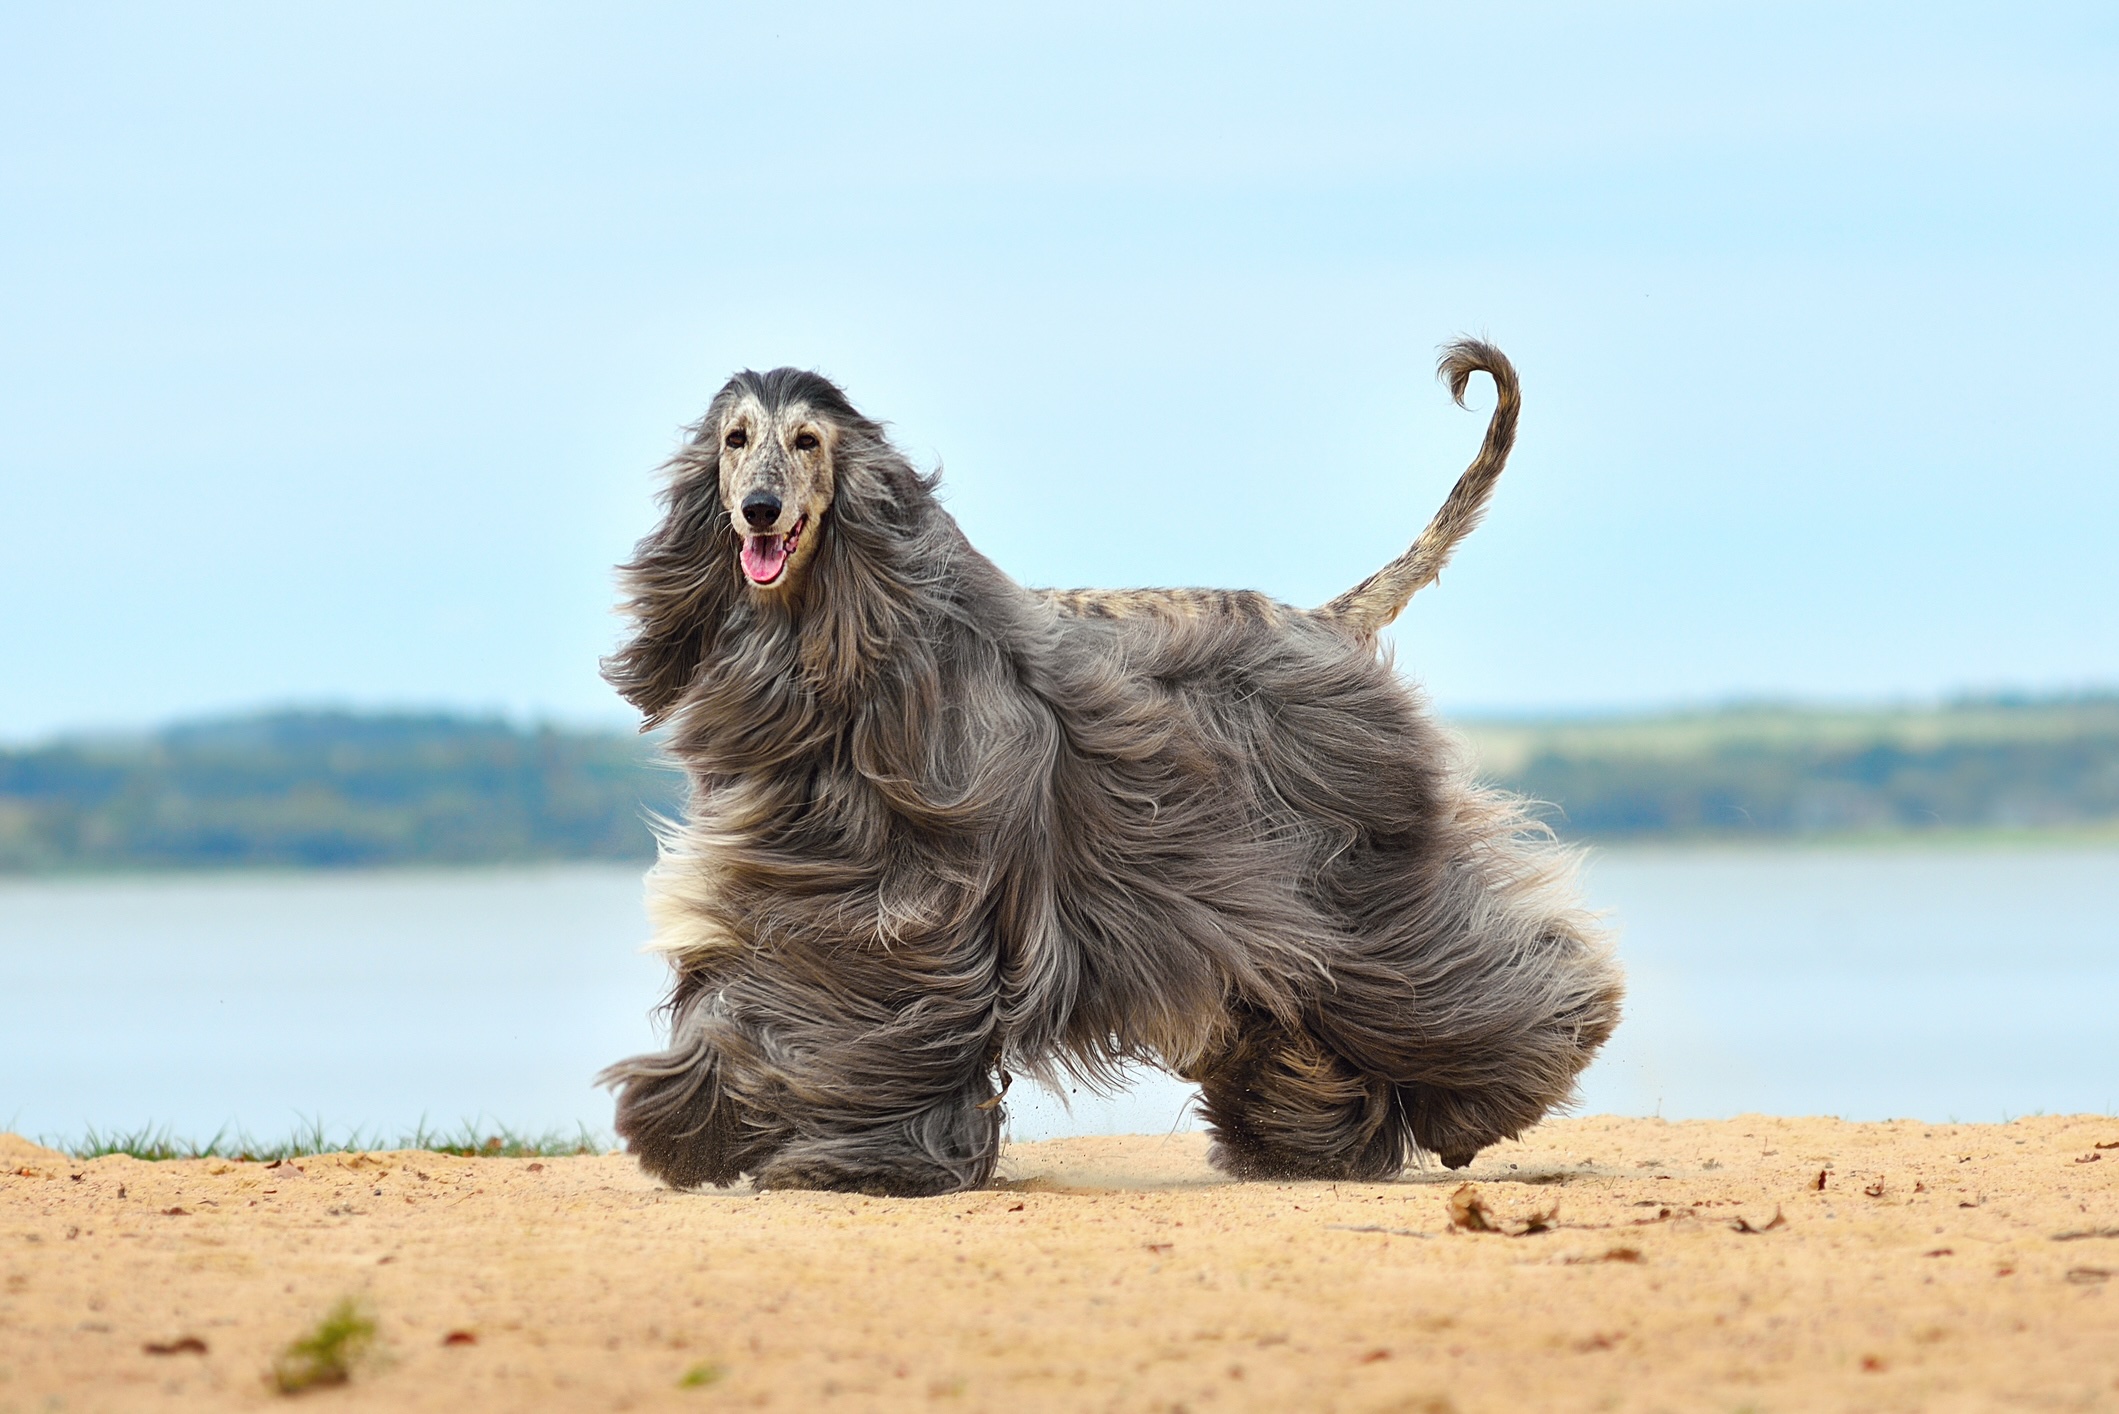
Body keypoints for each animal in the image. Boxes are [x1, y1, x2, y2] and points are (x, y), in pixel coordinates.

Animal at [597, 339, 1618, 1195]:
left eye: (806, 441)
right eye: (734, 440)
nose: (759, 510)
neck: (845, 642)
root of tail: (1323, 622)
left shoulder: (900, 906)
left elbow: (834, 1006)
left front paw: (815, 1153)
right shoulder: (803, 876)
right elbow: (737, 981)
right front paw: (697, 1123)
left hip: (1348, 862)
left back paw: (1497, 1088)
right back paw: (1309, 1137)